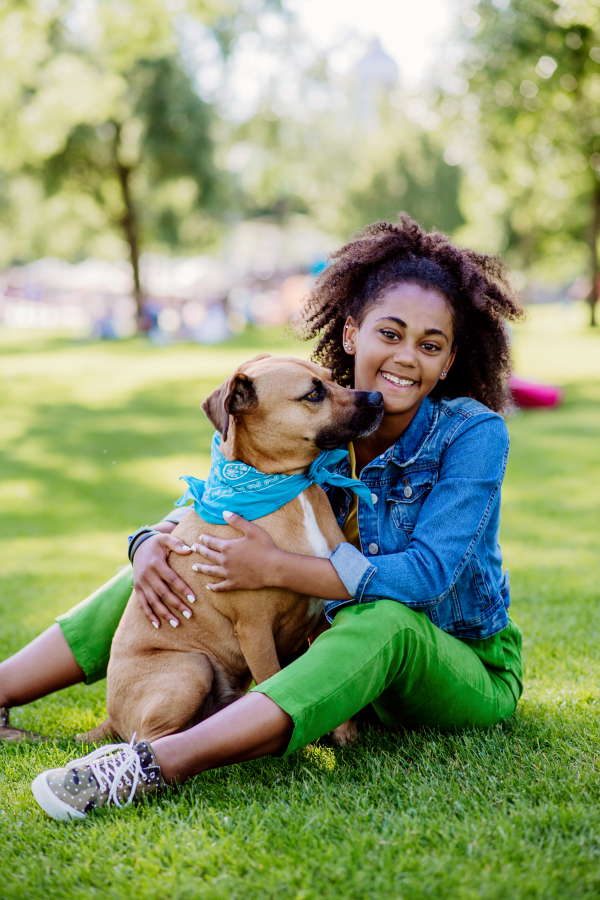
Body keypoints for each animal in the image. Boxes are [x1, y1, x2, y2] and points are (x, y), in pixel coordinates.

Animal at [83, 356, 384, 744]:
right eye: (314, 393)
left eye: (334, 379)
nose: (378, 397)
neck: (291, 488)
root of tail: (110, 718)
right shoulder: (255, 630)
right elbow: (273, 680)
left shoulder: (321, 620)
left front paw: (344, 736)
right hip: (192, 668)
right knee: (152, 738)